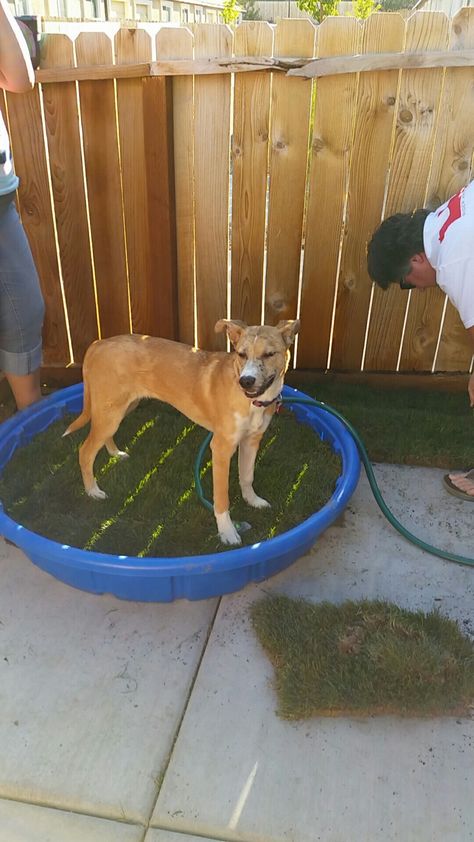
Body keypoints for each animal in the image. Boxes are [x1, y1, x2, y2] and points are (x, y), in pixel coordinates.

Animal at [63, 316, 300, 544]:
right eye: (241, 354)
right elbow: (221, 499)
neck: (253, 403)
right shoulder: (221, 448)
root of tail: (99, 343)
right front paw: (227, 532)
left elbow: (247, 476)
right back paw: (93, 491)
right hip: (110, 412)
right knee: (85, 452)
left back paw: (115, 453)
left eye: (269, 354)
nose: (246, 381)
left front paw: (253, 501)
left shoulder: (252, 440)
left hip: (120, 409)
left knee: (104, 436)